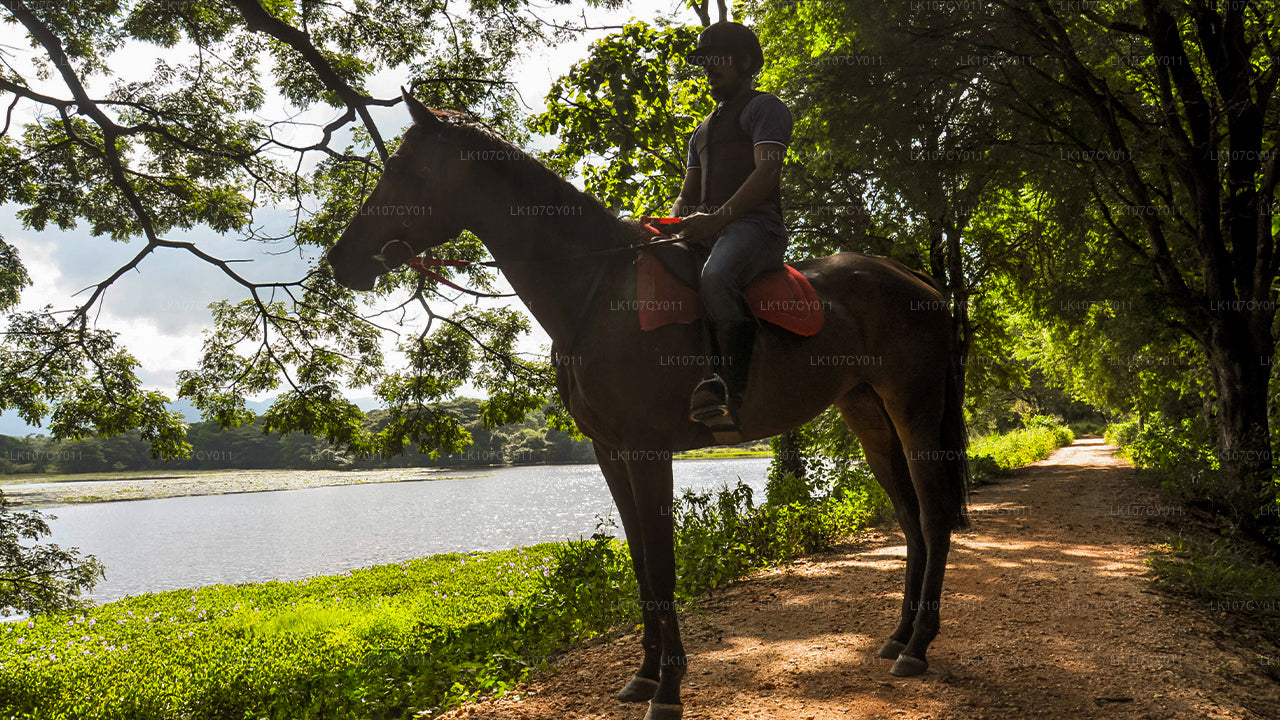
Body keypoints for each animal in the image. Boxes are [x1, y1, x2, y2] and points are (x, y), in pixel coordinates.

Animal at [330, 90, 967, 717]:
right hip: (867, 415)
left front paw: (668, 689)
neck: (595, 290)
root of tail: (916, 280)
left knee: (934, 515)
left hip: (913, 408)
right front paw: (642, 675)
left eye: (400, 170)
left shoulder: (647, 450)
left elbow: (662, 564)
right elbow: (640, 564)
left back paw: (919, 646)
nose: (341, 259)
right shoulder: (611, 453)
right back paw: (898, 637)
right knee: (910, 518)